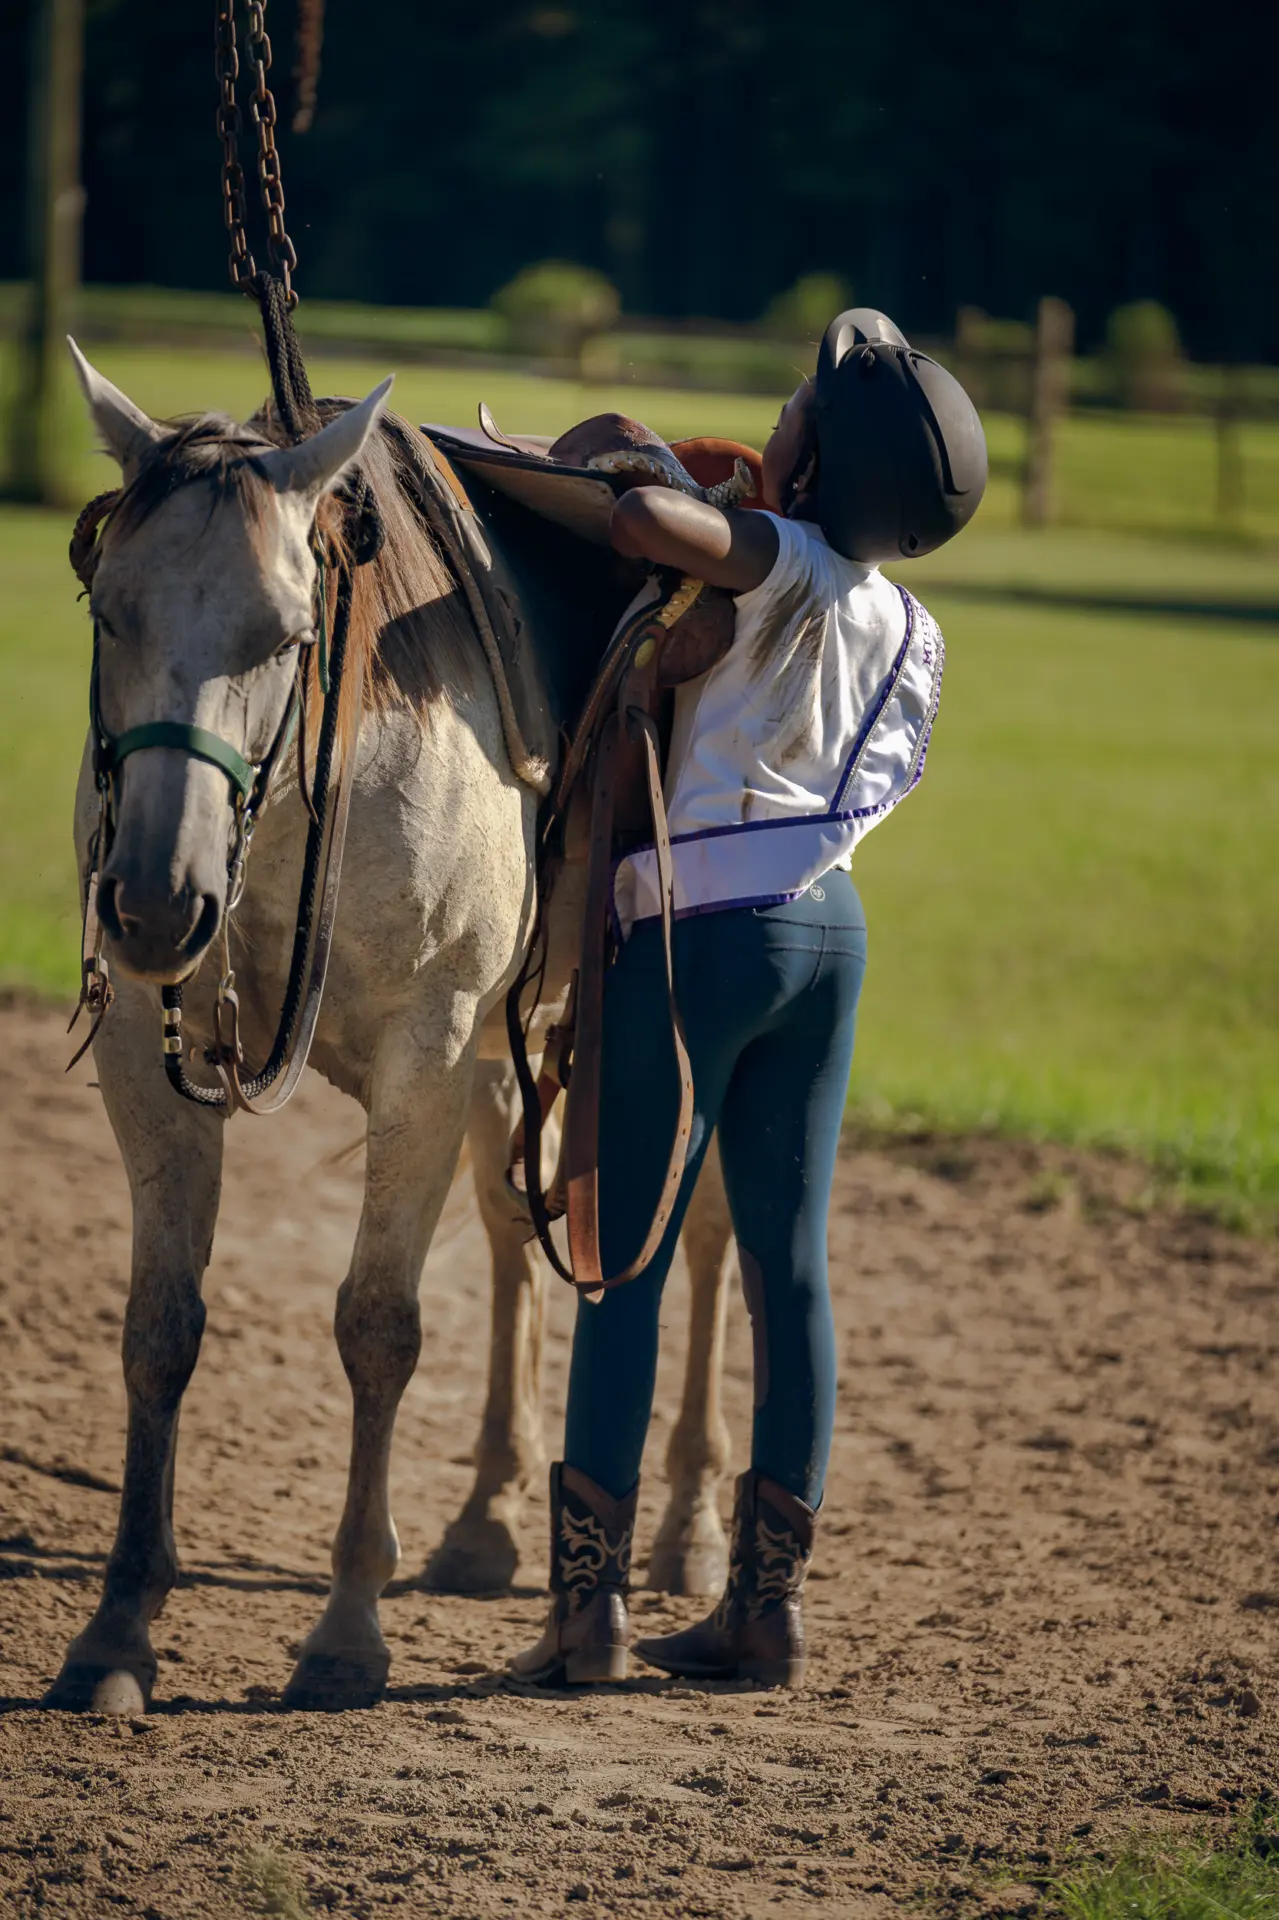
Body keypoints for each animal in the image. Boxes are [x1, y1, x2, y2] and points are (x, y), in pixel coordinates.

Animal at [47, 347, 735, 1714]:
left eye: (286, 634)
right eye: (112, 614)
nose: (153, 900)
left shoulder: (427, 1054)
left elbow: (377, 1325)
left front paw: (348, 1630)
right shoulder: (145, 1059)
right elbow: (160, 1327)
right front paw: (119, 1627)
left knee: (706, 1236)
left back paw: (689, 1525)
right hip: (503, 1054)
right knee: (514, 1226)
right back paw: (486, 1520)